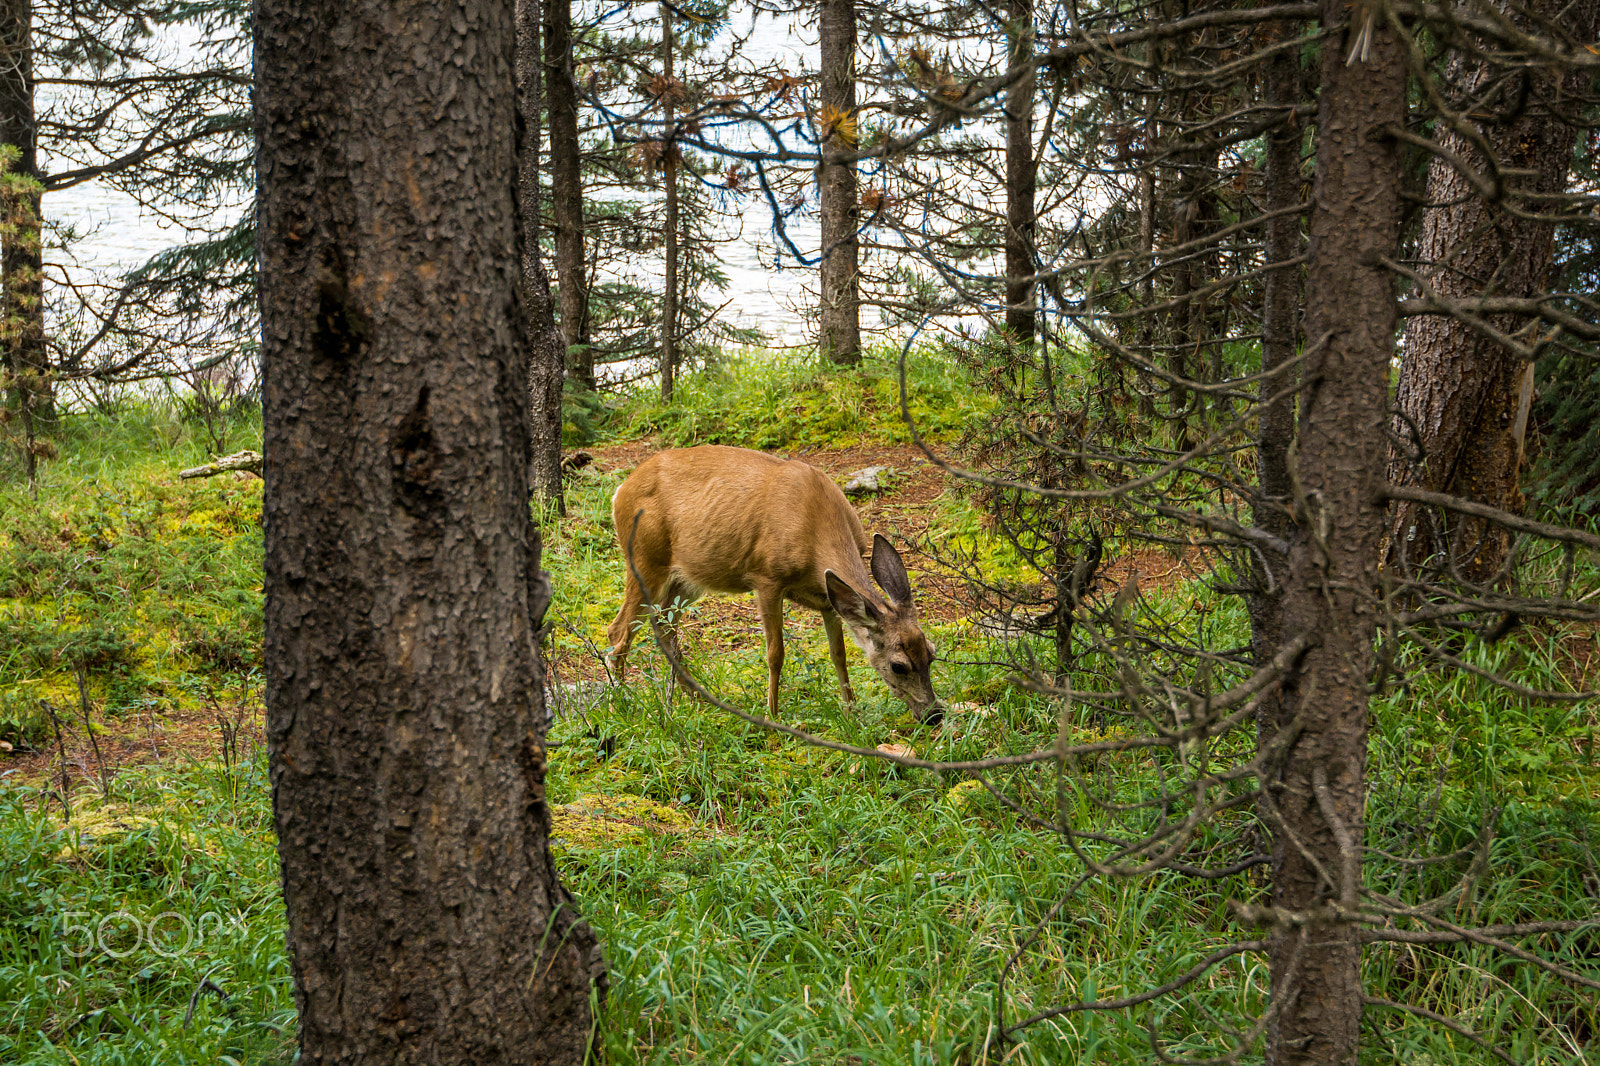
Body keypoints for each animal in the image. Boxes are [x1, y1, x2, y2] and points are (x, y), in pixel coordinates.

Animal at [605, 445, 942, 723]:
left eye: (931, 653)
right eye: (899, 665)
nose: (934, 715)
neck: (816, 526)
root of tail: (619, 491)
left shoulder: (828, 596)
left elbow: (839, 653)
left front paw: (851, 710)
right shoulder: (766, 577)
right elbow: (775, 653)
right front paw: (773, 714)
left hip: (688, 579)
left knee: (664, 626)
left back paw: (698, 700)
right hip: (645, 559)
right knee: (618, 630)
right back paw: (621, 704)